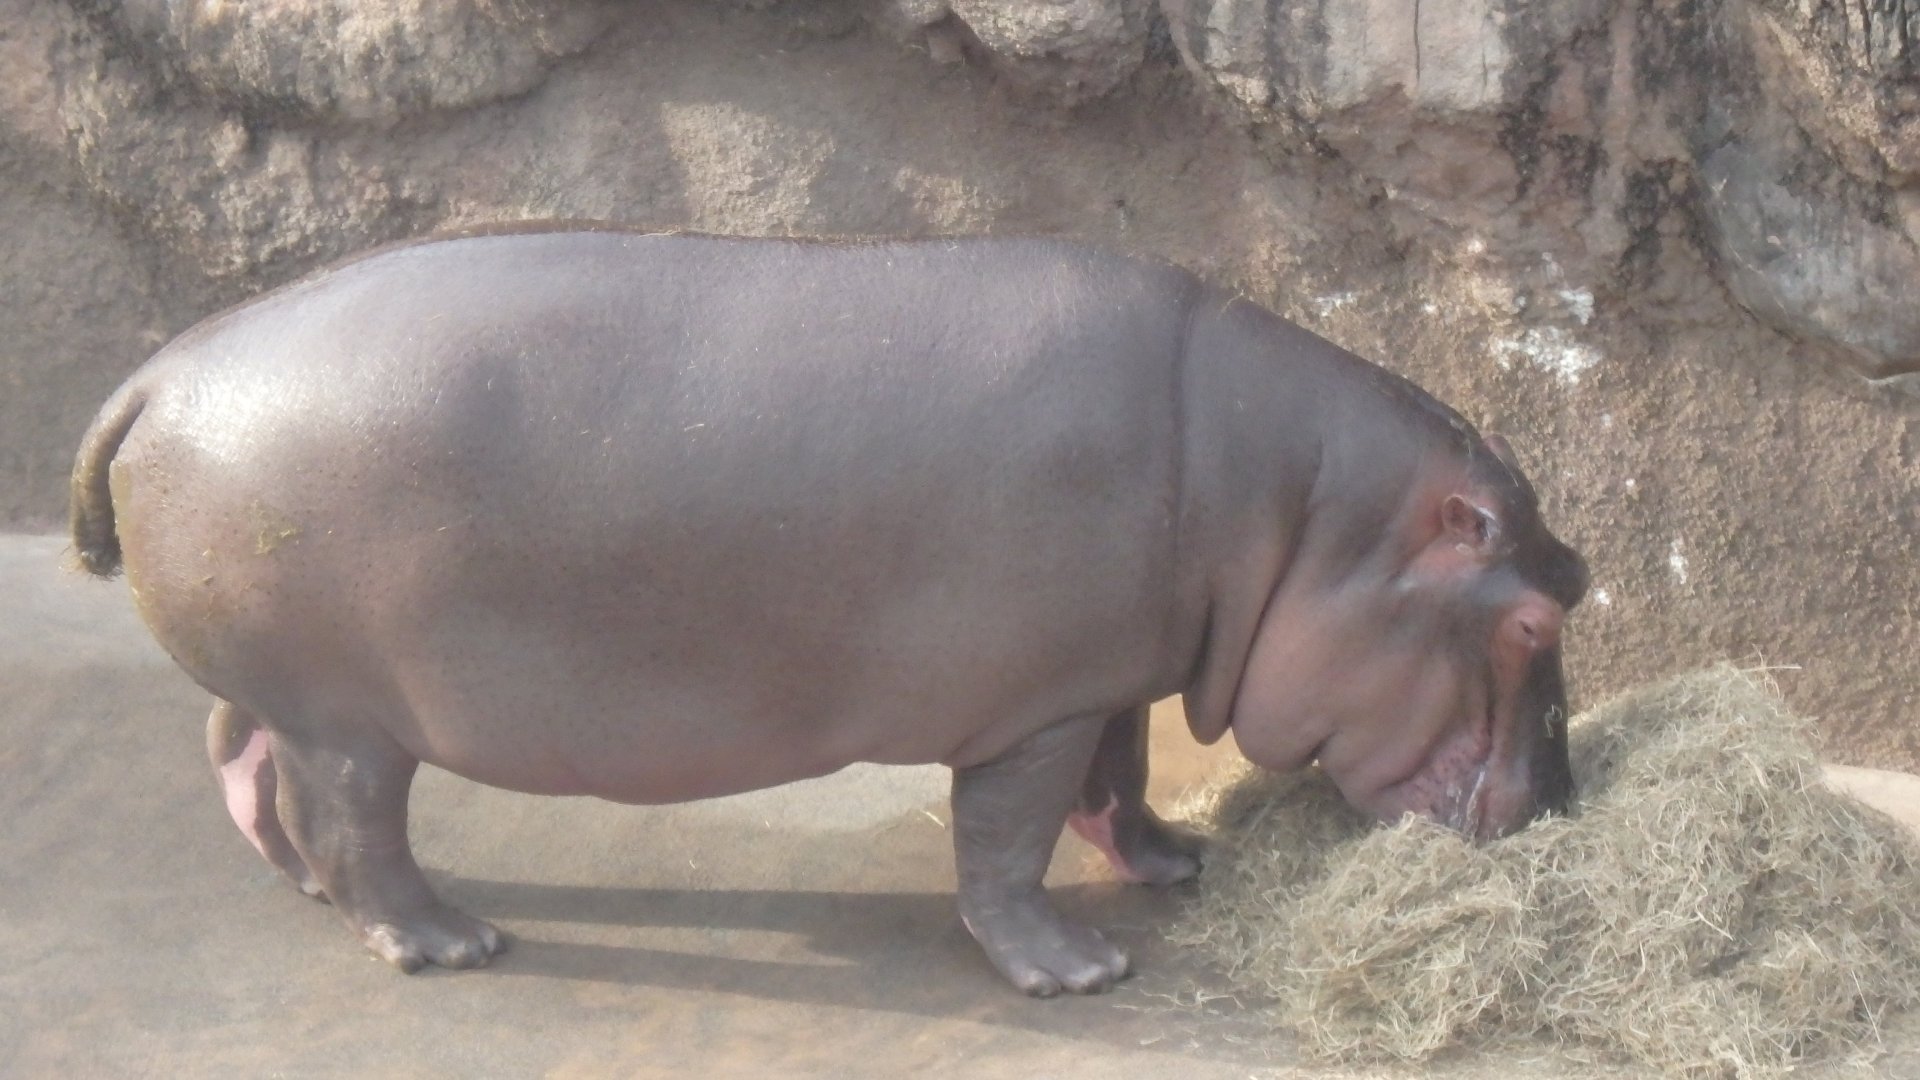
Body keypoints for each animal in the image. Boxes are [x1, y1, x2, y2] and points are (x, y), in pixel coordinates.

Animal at [70, 230, 1588, 995]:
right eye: (1535, 621)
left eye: (1577, 575)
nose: (1561, 808)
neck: (1299, 509)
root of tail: (156, 375)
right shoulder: (1032, 706)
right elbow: (1007, 838)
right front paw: (1077, 971)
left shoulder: (1103, 670)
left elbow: (1123, 772)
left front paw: (1172, 866)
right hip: (353, 720)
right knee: (355, 823)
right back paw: (445, 944)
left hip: (286, 691)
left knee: (240, 758)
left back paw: (306, 890)